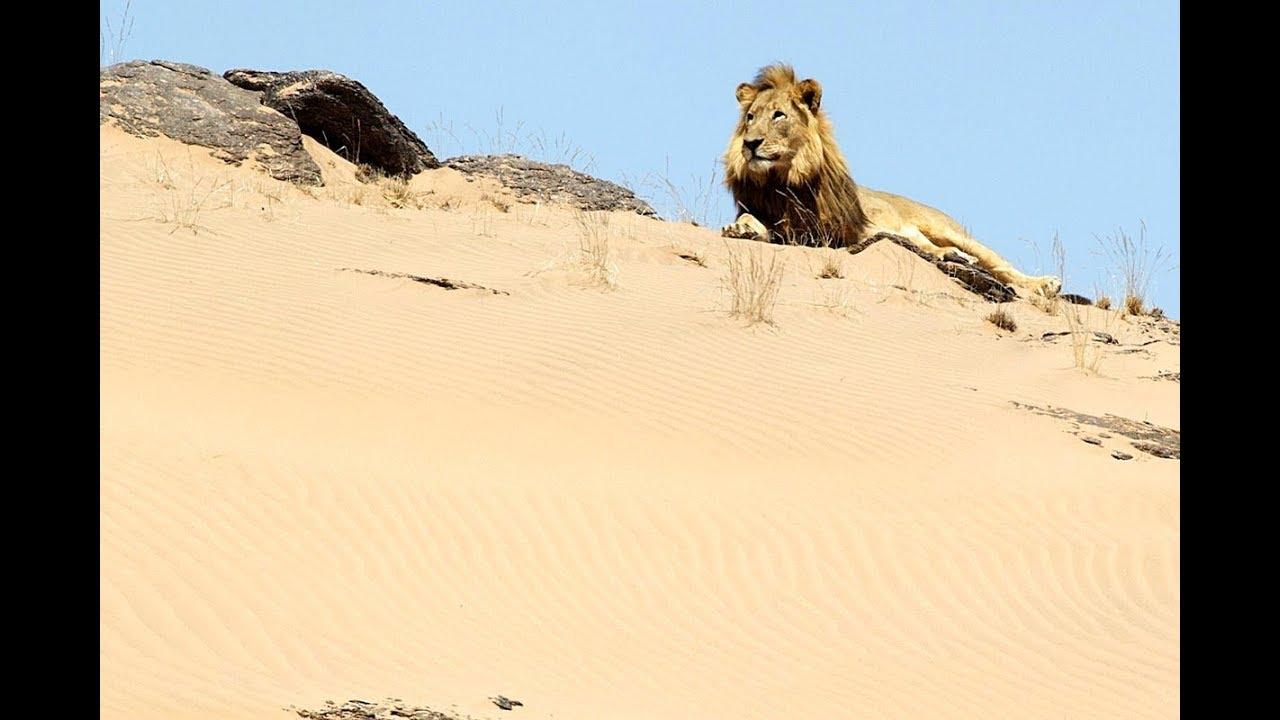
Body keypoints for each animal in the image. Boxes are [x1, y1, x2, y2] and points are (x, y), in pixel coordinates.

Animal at [721, 63, 1059, 294]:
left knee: (998, 264)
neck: (783, 182)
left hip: (950, 230)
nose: (750, 144)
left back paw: (1045, 283)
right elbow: (751, 221)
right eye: (750, 117)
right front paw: (740, 229)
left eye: (779, 115)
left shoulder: (848, 230)